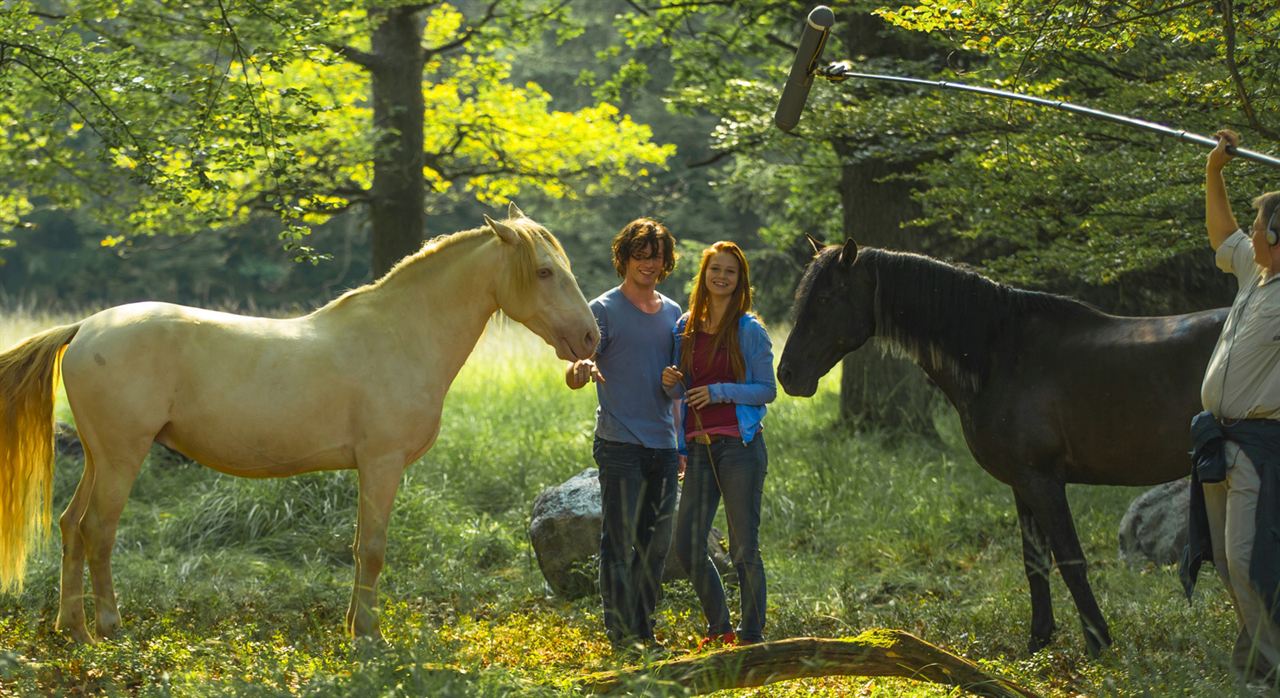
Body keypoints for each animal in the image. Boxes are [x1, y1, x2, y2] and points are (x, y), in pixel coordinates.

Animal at [0, 201, 596, 642]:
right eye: (545, 271)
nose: (590, 337)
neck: (400, 334)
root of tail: (85, 328)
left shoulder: (369, 471)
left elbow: (358, 547)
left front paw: (356, 627)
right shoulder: (381, 465)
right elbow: (372, 548)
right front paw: (369, 637)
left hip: (98, 458)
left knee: (71, 526)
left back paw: (73, 628)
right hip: (123, 456)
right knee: (98, 531)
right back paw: (109, 627)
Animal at [778, 239, 1228, 653]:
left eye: (827, 298)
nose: (787, 375)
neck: (1000, 353)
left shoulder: (1043, 481)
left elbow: (1069, 560)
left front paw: (1098, 644)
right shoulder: (1023, 484)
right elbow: (1035, 563)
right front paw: (1038, 643)